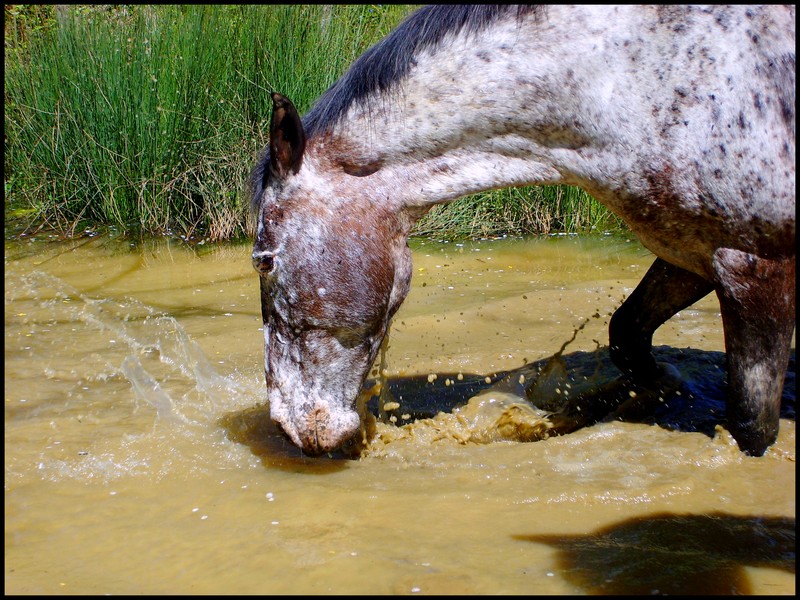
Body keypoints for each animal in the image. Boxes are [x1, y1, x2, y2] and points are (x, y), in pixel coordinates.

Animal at [248, 4, 792, 458]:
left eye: (264, 261)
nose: (288, 427)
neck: (630, 83)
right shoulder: (690, 253)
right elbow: (625, 333)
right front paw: (661, 389)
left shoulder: (754, 267)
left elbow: (752, 425)